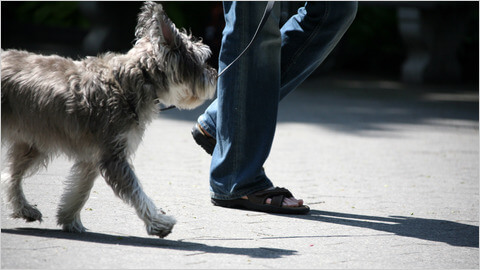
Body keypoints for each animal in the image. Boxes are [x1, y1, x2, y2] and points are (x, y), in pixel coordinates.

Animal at [0, 2, 217, 238]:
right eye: (203, 60)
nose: (215, 74)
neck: (137, 78)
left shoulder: (93, 158)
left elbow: (80, 191)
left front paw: (69, 219)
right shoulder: (113, 157)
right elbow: (136, 192)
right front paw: (159, 222)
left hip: (32, 143)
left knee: (11, 176)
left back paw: (25, 209)